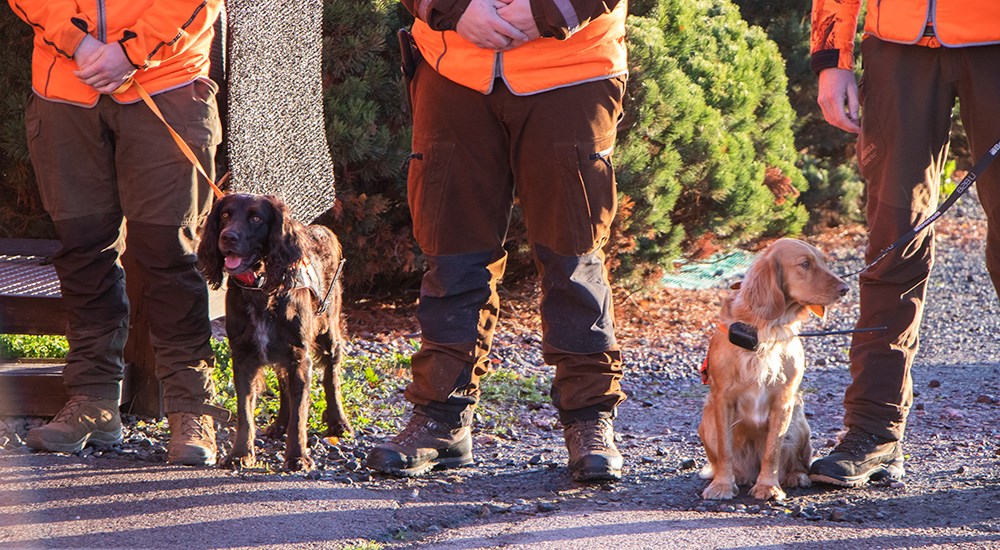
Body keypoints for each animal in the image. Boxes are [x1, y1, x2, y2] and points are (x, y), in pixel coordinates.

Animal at [700, 239, 848, 502]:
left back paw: (795, 476)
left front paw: (768, 486)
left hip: (799, 423)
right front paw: (722, 485)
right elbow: (726, 450)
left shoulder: (784, 400)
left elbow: (773, 450)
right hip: (706, 422)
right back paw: (738, 476)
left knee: (796, 461)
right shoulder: (722, 399)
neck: (768, 328)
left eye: (824, 261)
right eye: (805, 264)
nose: (845, 288)